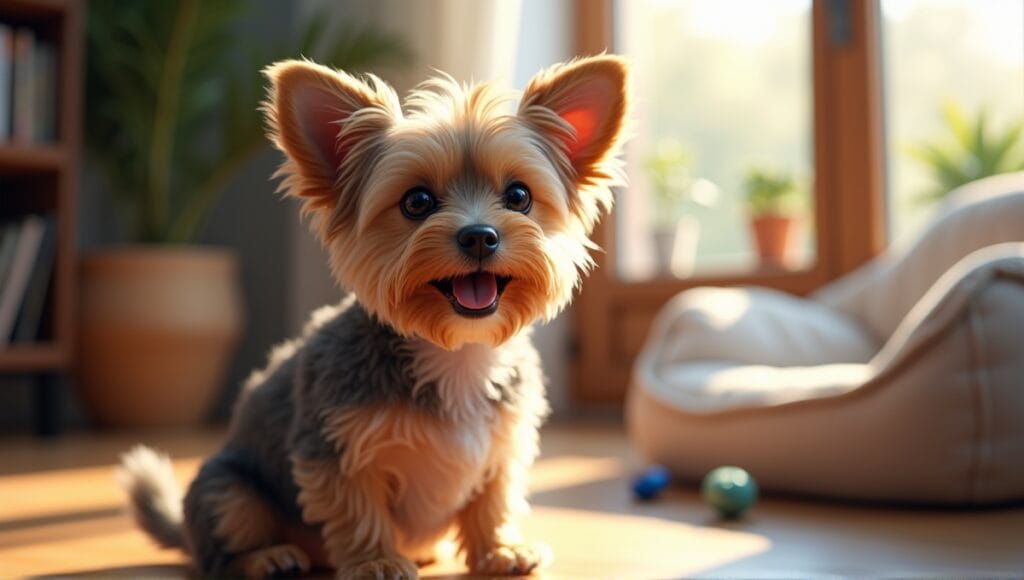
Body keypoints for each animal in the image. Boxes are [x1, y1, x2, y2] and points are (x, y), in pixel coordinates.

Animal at [116, 53, 626, 577]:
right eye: (417, 202)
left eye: (519, 197)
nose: (480, 235)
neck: (456, 352)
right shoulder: (333, 450)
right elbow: (358, 510)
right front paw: (378, 560)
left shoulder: (503, 444)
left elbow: (493, 499)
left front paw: (500, 549)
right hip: (229, 490)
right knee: (219, 549)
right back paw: (268, 558)